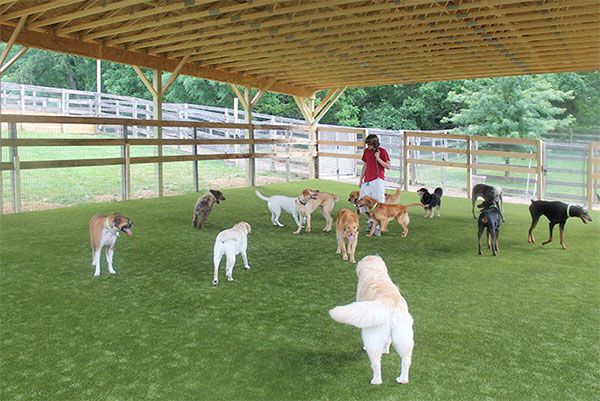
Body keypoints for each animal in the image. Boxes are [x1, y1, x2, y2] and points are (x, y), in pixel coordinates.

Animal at [328, 256, 412, 384]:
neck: (374, 271)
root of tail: (389, 301)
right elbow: (388, 341)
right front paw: (386, 350)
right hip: (404, 337)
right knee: (406, 361)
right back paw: (402, 379)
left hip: (373, 338)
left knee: (376, 364)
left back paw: (376, 381)